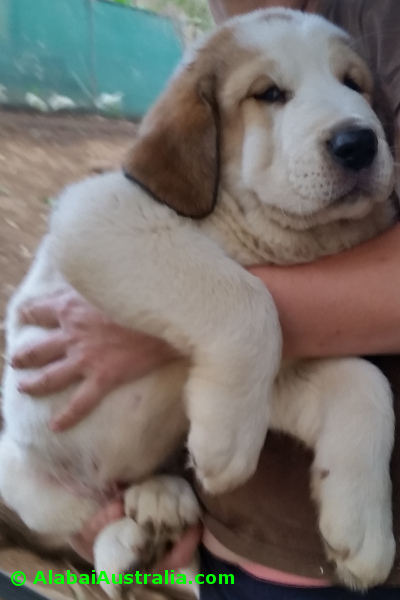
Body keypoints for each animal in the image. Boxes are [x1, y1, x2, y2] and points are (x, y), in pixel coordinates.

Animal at [0, 8, 396, 596]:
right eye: (269, 93)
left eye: (354, 84)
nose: (359, 142)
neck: (250, 233)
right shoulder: (97, 215)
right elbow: (246, 299)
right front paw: (224, 444)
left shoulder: (280, 366)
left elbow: (363, 381)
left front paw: (362, 529)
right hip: (18, 465)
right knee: (84, 522)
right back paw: (127, 544)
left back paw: (160, 503)